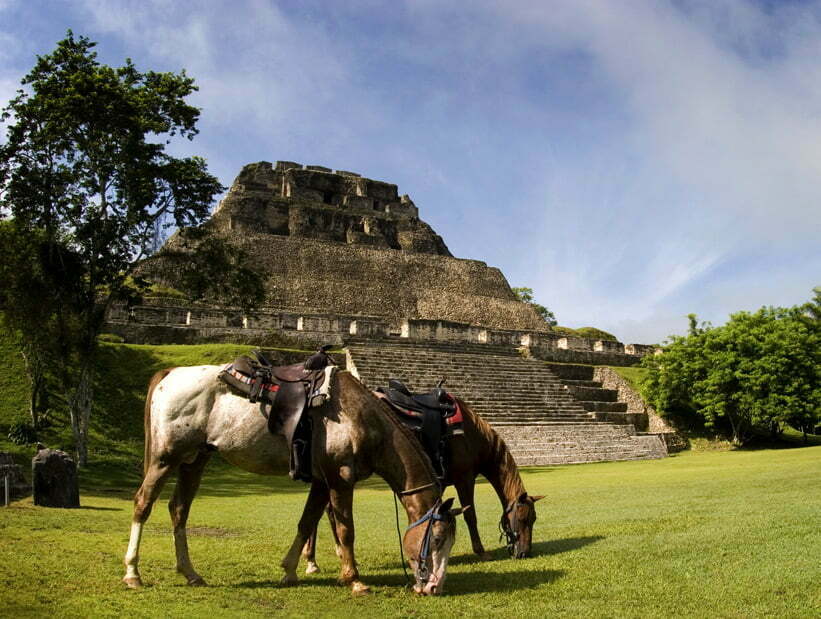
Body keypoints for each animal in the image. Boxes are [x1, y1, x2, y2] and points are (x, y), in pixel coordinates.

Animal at [122, 368, 468, 596]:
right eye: (438, 539)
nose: (434, 587)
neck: (359, 417)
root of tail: (169, 374)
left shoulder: (321, 481)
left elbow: (306, 522)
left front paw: (290, 570)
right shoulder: (340, 479)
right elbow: (346, 530)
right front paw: (354, 579)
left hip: (195, 459)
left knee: (179, 509)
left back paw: (191, 573)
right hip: (166, 457)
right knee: (143, 504)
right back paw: (133, 573)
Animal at [304, 398, 540, 572]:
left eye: (534, 519)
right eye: (523, 519)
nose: (524, 552)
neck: (472, 436)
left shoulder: (439, 481)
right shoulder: (465, 478)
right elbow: (470, 516)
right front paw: (481, 551)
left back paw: (316, 560)